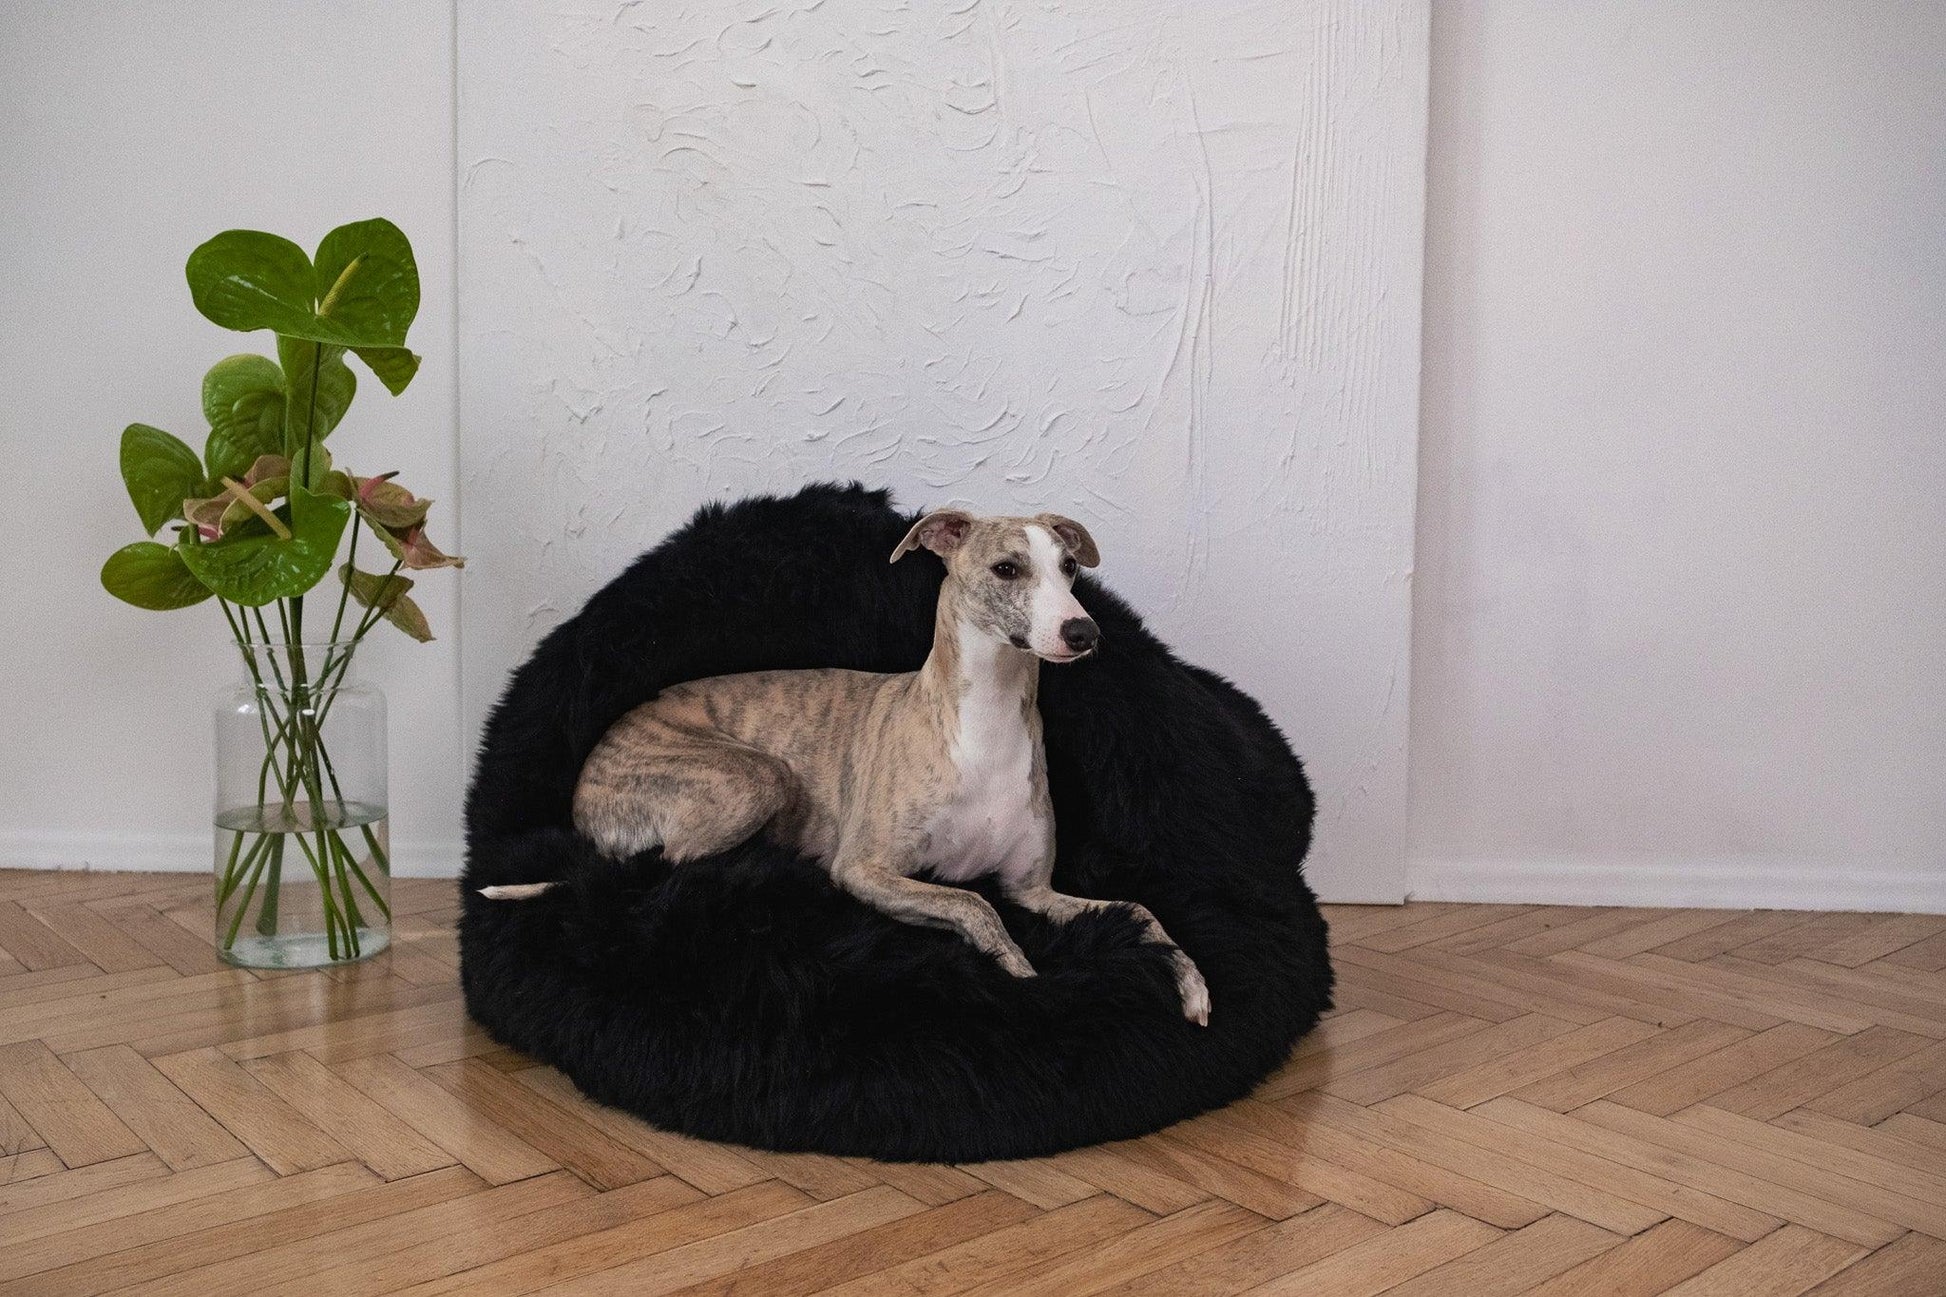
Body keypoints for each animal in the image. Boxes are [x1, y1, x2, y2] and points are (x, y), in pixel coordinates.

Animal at [484, 506, 1206, 1020]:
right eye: (1007, 568)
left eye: (1069, 568)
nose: (1086, 633)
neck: (986, 722)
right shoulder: (866, 868)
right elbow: (973, 903)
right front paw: (1024, 973)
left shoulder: (1036, 889)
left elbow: (1140, 910)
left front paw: (1193, 985)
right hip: (755, 776)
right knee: (669, 866)